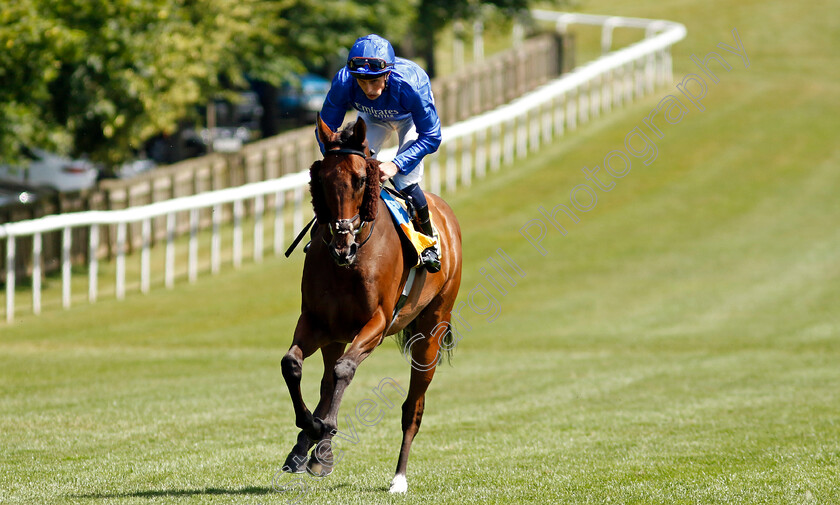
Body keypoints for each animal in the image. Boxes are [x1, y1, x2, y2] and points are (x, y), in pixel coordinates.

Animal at [282, 115, 466, 492]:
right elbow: (292, 365)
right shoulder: (317, 322)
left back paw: (399, 478)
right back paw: (303, 446)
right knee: (325, 383)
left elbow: (344, 371)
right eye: (322, 179)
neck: (351, 262)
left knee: (413, 408)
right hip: (336, 335)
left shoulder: (377, 323)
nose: (342, 245)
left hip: (431, 332)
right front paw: (311, 431)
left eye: (361, 179)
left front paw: (324, 451)